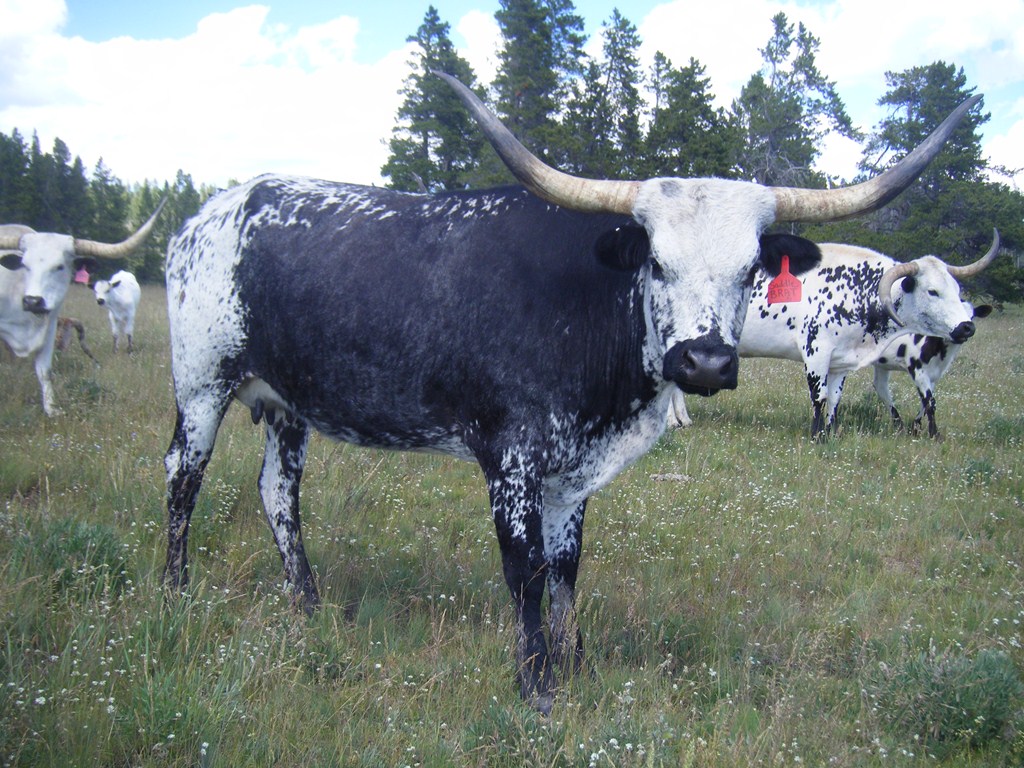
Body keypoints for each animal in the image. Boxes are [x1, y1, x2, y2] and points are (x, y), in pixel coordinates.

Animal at [0, 203, 163, 415]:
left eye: (60, 266)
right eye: (24, 265)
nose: (32, 301)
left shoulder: (51, 327)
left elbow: (45, 370)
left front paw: (51, 410)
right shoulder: (110, 317)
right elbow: (114, 335)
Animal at [872, 301, 993, 438]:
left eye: (972, 316)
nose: (968, 328)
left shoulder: (934, 375)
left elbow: (925, 402)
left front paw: (916, 429)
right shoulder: (917, 370)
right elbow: (930, 402)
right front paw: (935, 434)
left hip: (881, 364)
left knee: (881, 387)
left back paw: (899, 427)